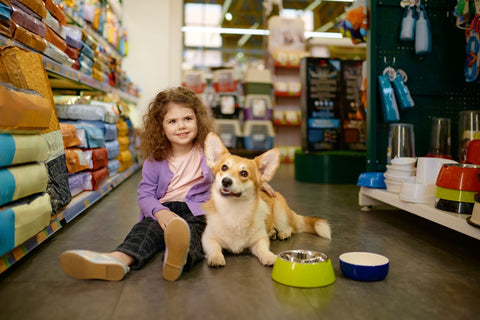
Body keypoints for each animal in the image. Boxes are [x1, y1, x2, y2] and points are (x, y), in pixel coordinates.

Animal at [201, 132, 332, 268]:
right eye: (224, 167)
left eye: (244, 173)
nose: (226, 181)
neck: (234, 209)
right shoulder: (207, 238)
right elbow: (215, 247)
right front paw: (216, 257)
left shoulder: (259, 240)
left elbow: (263, 248)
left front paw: (269, 257)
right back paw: (272, 233)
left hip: (280, 215)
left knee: (291, 228)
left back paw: (283, 233)